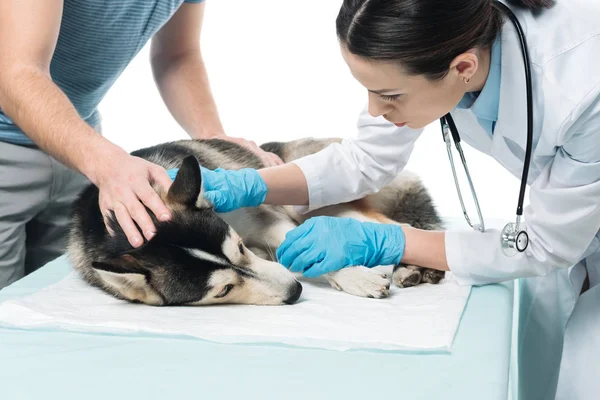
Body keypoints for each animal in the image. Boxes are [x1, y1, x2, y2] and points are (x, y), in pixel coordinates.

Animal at [68, 138, 446, 306]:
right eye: (223, 290)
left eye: (238, 247)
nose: (295, 291)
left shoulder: (267, 221)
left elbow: (310, 247)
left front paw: (353, 276)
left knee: (401, 229)